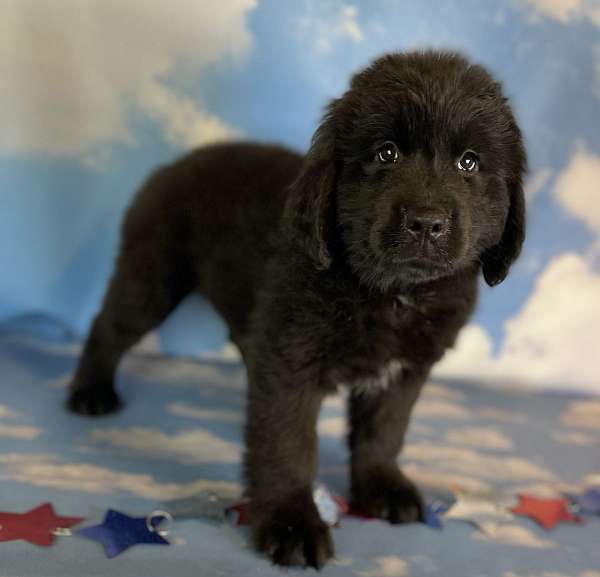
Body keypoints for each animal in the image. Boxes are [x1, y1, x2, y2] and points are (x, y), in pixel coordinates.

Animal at [67, 51, 524, 568]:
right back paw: (90, 392)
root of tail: (173, 164)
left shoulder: (404, 371)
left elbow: (383, 432)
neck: (391, 293)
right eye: (385, 153)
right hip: (152, 278)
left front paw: (381, 488)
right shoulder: (289, 364)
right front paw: (291, 523)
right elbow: (285, 444)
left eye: (469, 162)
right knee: (108, 326)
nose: (426, 223)